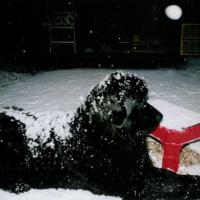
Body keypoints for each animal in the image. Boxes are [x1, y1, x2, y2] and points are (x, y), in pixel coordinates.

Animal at [0, 71, 200, 199]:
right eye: (139, 102)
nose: (161, 116)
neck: (109, 138)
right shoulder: (131, 182)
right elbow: (168, 186)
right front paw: (193, 186)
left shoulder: (141, 168)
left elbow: (169, 176)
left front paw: (191, 179)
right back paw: (18, 185)